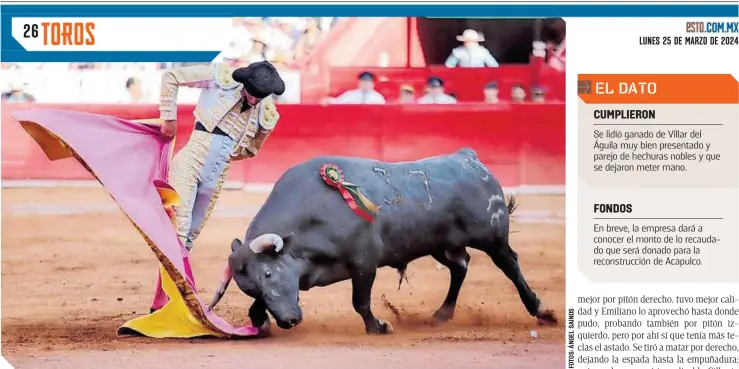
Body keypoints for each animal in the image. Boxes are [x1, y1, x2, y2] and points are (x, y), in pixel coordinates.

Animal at [208, 147, 556, 334]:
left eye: (268, 273)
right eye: (251, 286)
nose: (289, 321)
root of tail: (468, 158)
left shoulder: (364, 262)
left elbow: (360, 302)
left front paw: (378, 327)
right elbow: (257, 308)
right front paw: (261, 321)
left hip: (491, 236)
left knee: (509, 263)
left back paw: (540, 310)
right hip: (439, 245)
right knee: (461, 266)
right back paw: (441, 315)